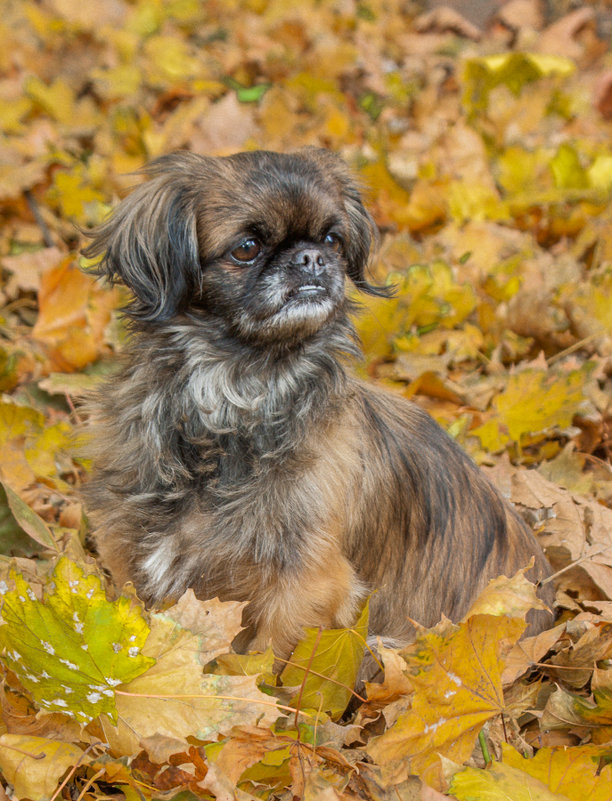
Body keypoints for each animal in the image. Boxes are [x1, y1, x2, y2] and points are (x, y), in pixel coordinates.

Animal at [82, 148, 556, 656]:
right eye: (246, 247)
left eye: (332, 239)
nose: (311, 257)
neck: (239, 391)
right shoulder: (130, 546)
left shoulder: (305, 582)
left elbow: (270, 661)